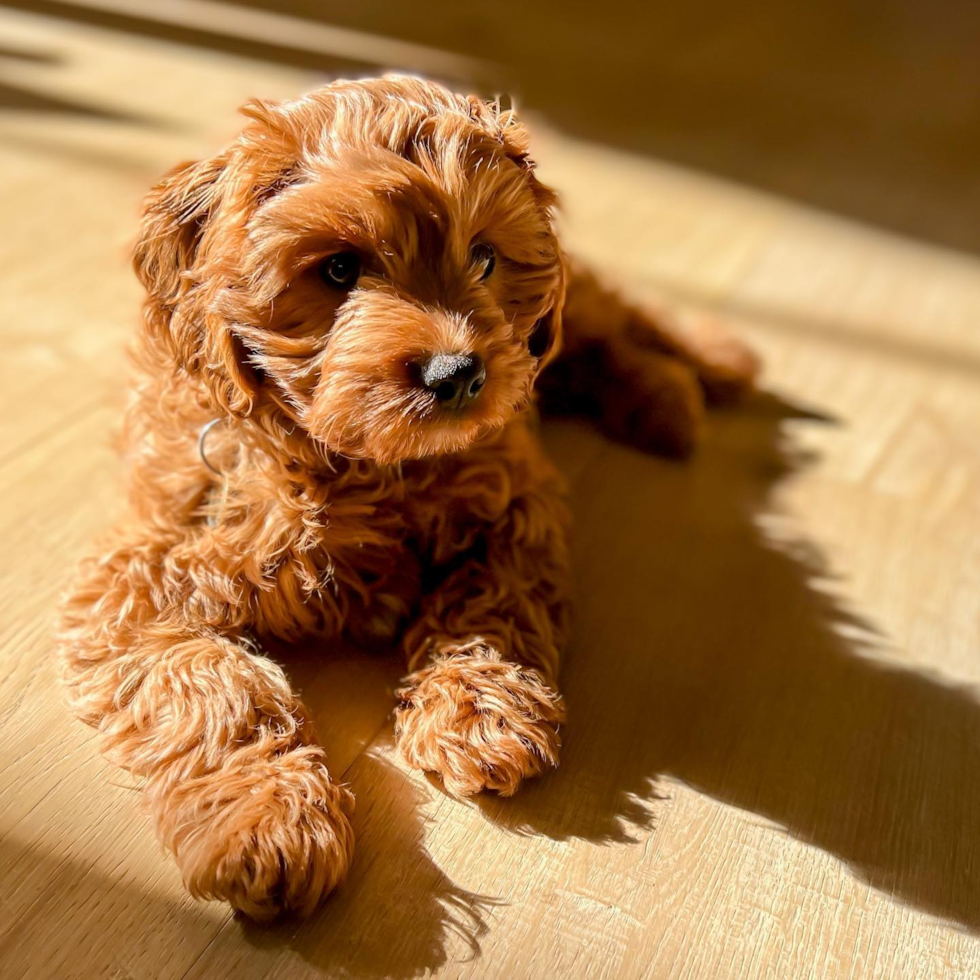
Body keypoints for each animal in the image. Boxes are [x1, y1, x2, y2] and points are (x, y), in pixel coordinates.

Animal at [57, 74, 760, 920]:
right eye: (337, 270)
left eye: (484, 258)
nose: (457, 374)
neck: (355, 462)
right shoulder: (145, 574)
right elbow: (214, 691)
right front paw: (266, 824)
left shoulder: (513, 497)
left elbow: (491, 599)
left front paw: (480, 713)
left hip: (566, 313)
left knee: (614, 316)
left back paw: (698, 373)